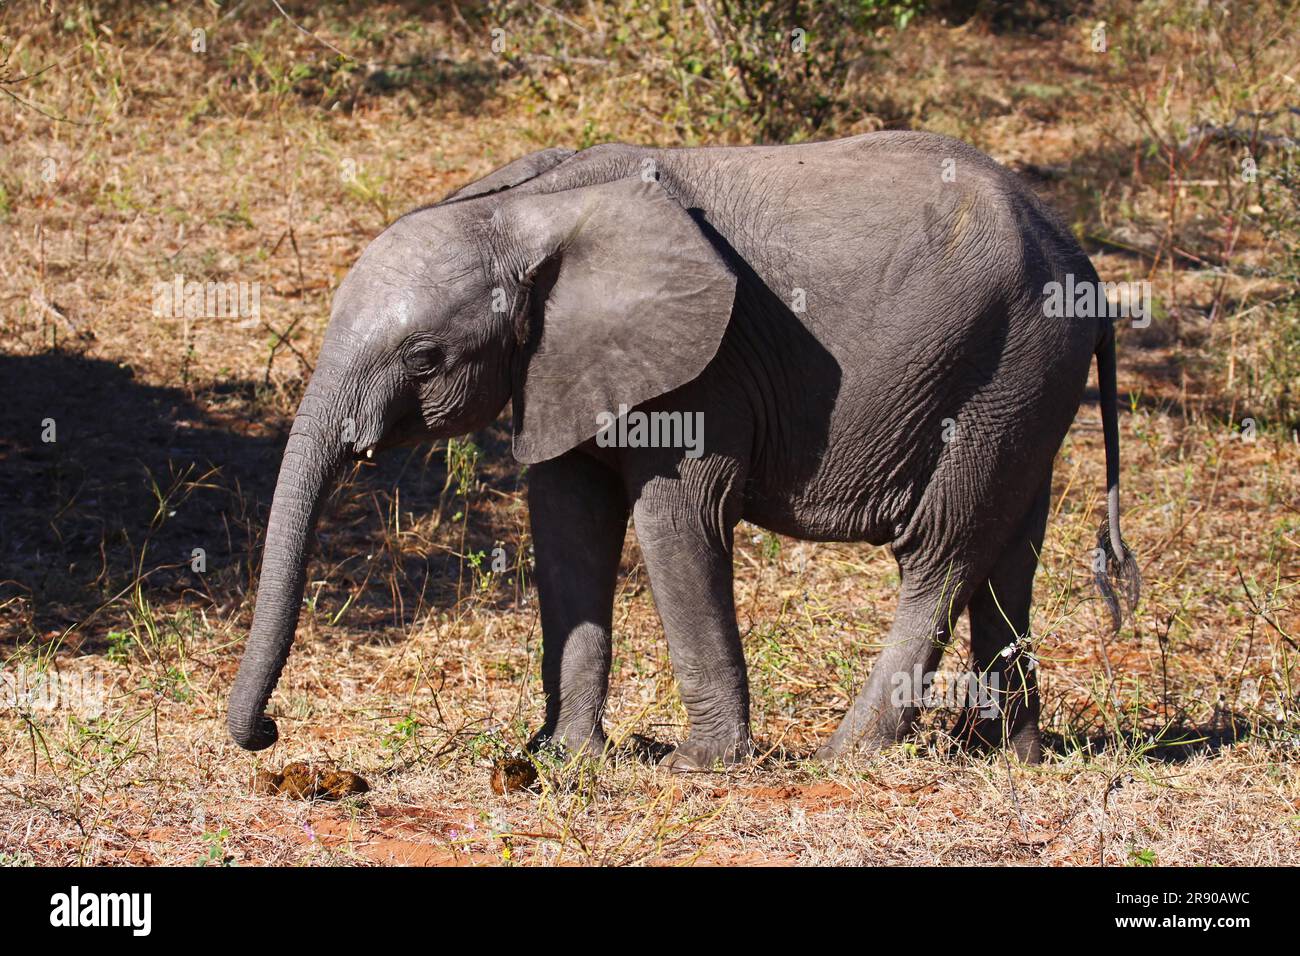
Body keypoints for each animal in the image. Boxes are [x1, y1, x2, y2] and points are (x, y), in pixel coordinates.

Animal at [228, 130, 1144, 770]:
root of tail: (1086, 268)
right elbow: (567, 526)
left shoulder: (706, 371)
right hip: (1026, 383)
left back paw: (847, 757)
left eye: (423, 360)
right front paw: (563, 758)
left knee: (940, 552)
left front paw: (697, 767)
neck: (529, 210)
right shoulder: (562, 362)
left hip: (1006, 366)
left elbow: (676, 520)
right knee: (1007, 552)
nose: (268, 732)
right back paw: (1001, 756)